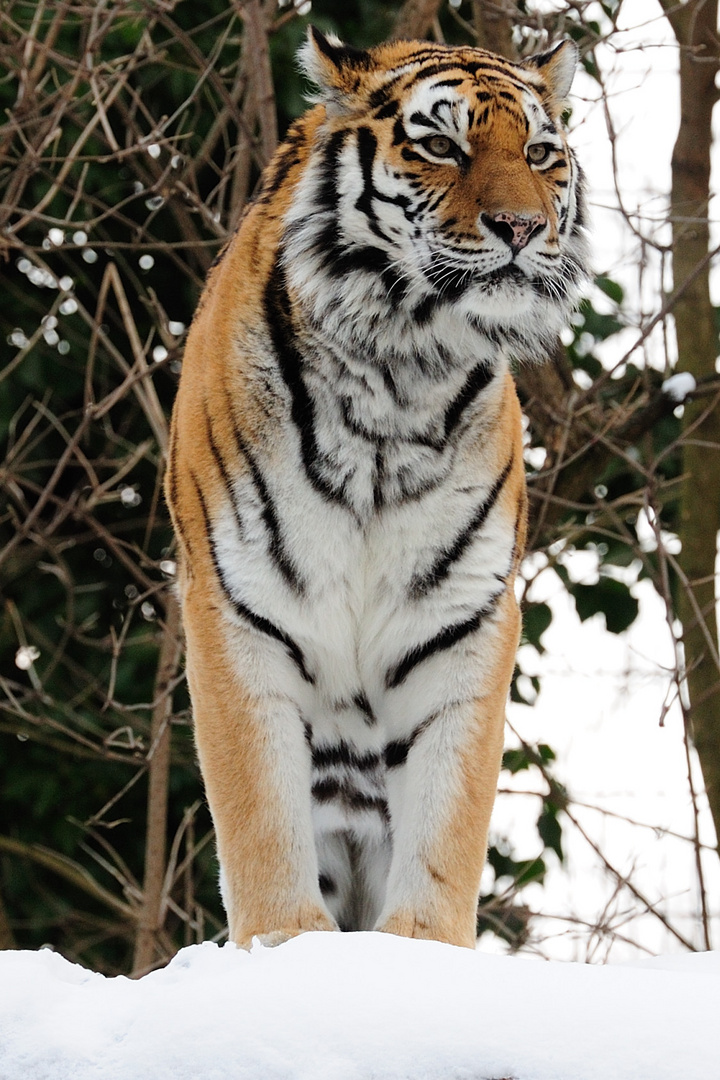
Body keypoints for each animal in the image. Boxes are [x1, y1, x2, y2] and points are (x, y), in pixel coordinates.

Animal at [166, 27, 587, 946]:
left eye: (541, 154)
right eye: (442, 145)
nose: (522, 226)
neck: (402, 372)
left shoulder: (460, 617)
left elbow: (448, 812)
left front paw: (421, 950)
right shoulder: (237, 606)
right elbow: (258, 809)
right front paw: (284, 941)